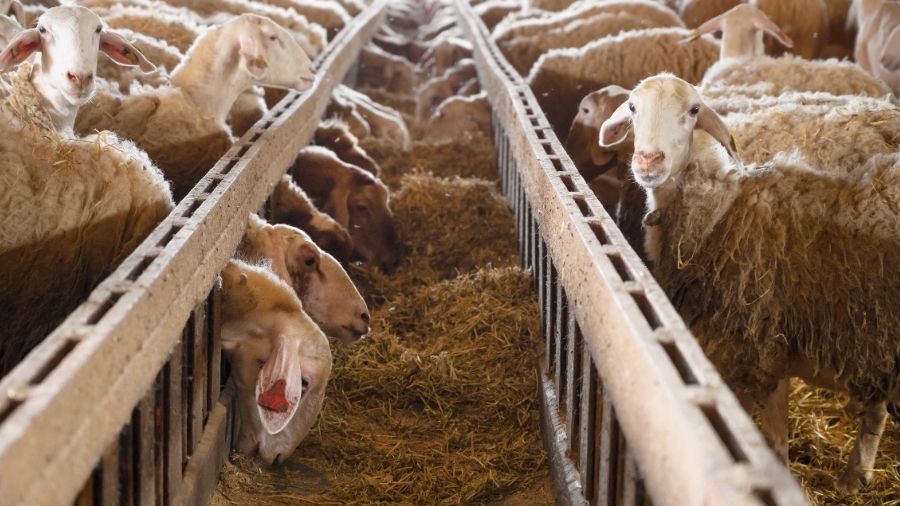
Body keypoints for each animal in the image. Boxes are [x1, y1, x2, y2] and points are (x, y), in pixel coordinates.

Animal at [598, 73, 900, 492]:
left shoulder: (753, 352)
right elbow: (777, 439)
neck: (721, 212)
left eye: (694, 110)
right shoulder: (776, 355)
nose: (648, 160)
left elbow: (768, 441)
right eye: (631, 107)